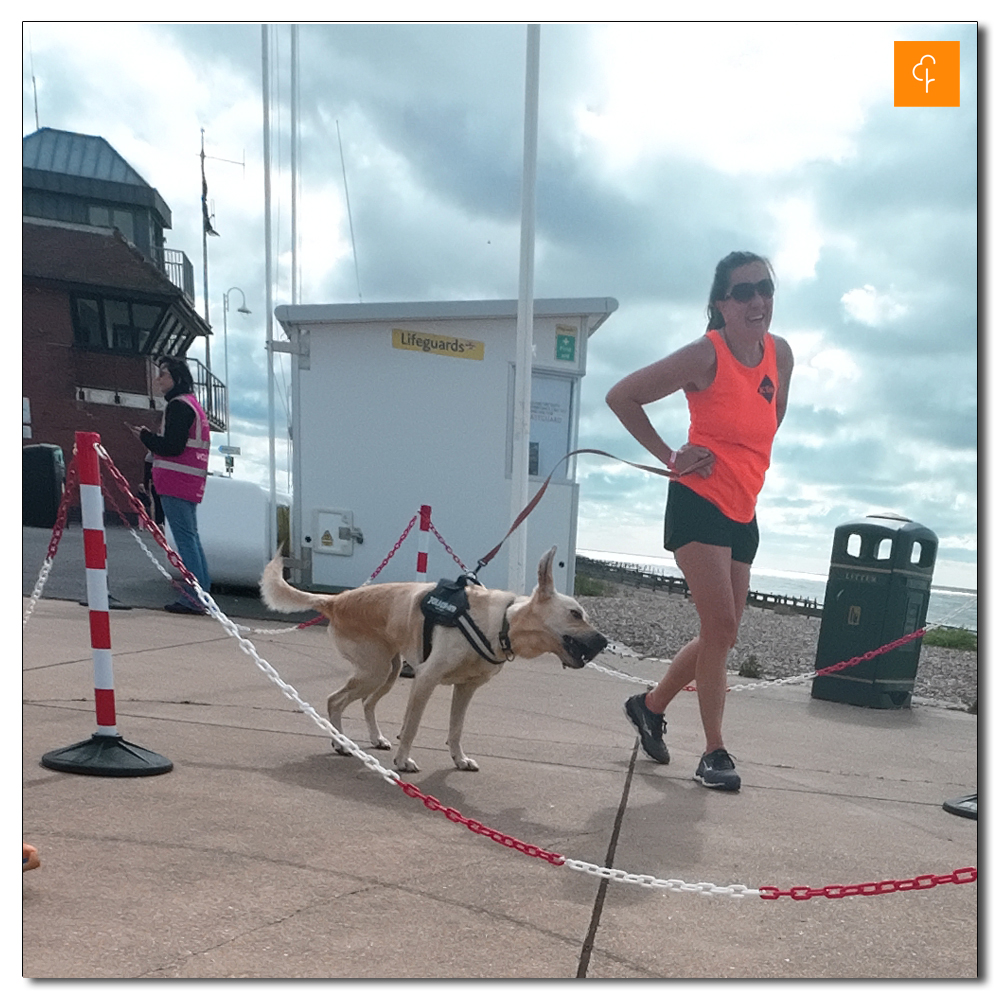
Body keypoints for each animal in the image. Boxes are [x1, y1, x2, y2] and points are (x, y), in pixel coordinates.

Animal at [262, 548, 604, 772]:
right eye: (576, 614)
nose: (604, 642)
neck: (502, 623)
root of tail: (335, 599)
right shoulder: (427, 679)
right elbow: (412, 725)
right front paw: (403, 761)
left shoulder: (465, 689)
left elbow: (456, 728)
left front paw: (459, 759)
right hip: (374, 670)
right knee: (336, 700)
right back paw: (341, 743)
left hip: (389, 670)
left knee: (367, 703)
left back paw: (375, 739)